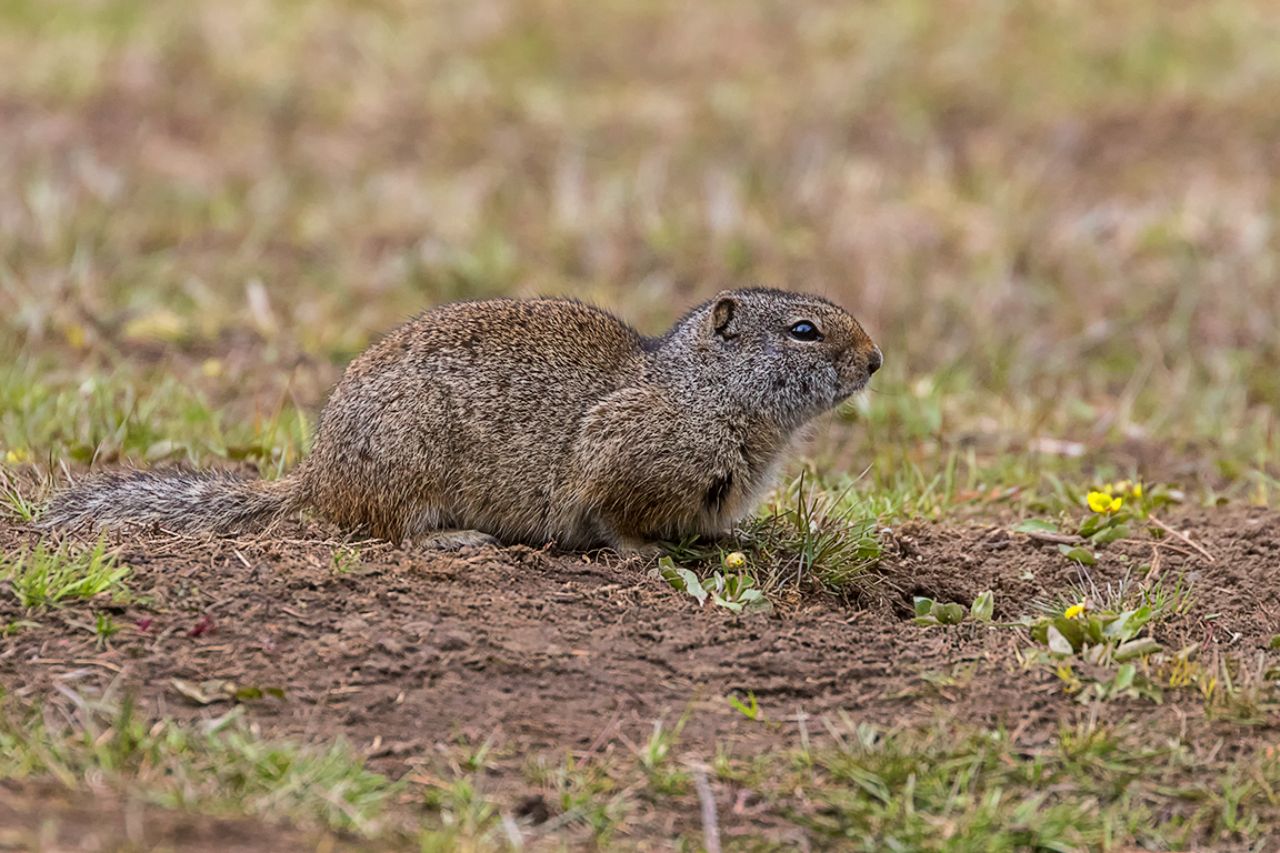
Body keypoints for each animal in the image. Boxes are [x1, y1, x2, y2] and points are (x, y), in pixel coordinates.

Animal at [40, 288, 881, 551]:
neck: (701, 390)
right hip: (412, 469)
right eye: (804, 330)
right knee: (389, 532)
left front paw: (735, 539)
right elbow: (615, 519)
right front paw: (646, 552)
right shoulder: (614, 456)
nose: (876, 360)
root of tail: (314, 477)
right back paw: (463, 540)